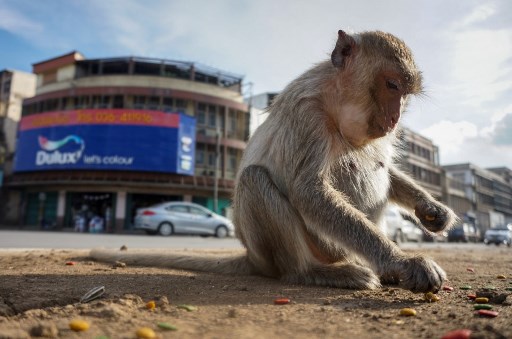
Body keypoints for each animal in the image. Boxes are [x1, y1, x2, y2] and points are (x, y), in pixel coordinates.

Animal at [92, 29, 456, 294]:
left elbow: (387, 172)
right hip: (291, 251)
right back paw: (312, 272)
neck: (335, 103)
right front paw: (402, 262)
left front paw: (433, 211)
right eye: (392, 85)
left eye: (405, 94)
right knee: (254, 179)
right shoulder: (307, 115)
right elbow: (309, 191)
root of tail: (252, 257)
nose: (396, 117)